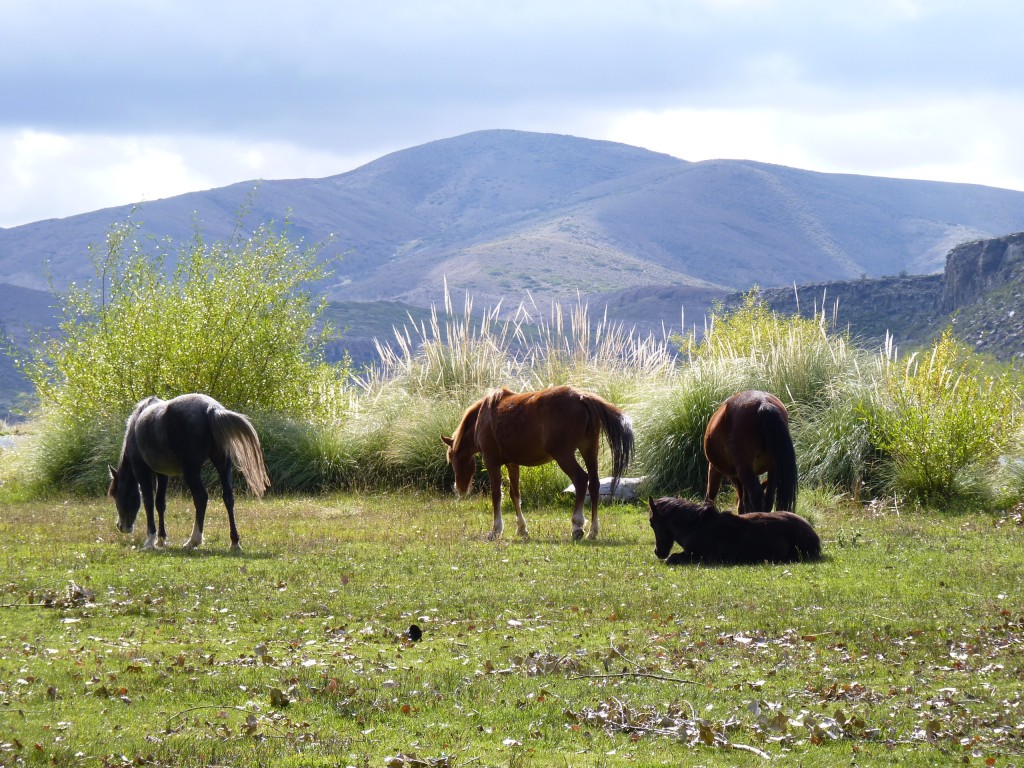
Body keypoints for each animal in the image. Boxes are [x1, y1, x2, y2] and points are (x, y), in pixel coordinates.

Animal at [440, 385, 630, 540]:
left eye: (453, 458)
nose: (460, 489)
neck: (483, 416)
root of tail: (581, 397)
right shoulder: (512, 464)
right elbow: (514, 494)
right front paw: (522, 529)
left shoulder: (491, 461)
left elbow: (496, 495)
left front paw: (496, 530)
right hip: (589, 449)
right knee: (595, 484)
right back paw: (593, 531)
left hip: (564, 455)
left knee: (581, 480)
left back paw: (577, 527)